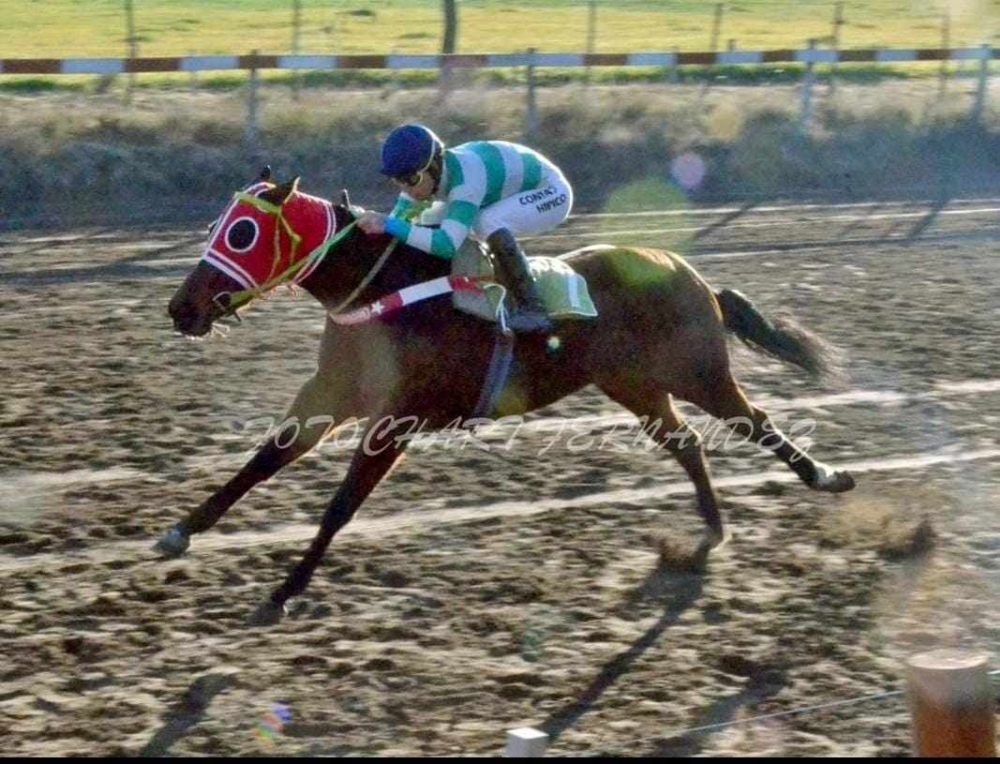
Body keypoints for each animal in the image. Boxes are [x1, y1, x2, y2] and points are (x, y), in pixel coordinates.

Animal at [160, 170, 856, 624]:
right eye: (219, 226)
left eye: (242, 234)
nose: (181, 309)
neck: (382, 296)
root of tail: (693, 273)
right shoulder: (328, 395)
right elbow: (261, 461)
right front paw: (180, 531)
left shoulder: (396, 420)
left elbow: (339, 507)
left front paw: (285, 590)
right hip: (633, 383)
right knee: (685, 444)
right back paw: (708, 530)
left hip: (697, 372)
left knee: (755, 420)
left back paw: (827, 478)